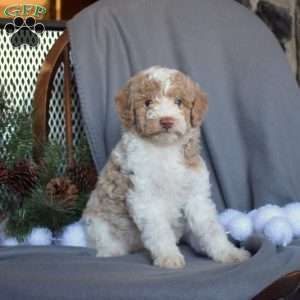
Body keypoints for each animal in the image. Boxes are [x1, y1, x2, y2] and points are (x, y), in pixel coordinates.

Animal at [81, 65, 248, 270]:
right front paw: (169, 256)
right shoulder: (145, 197)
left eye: (178, 102)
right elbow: (159, 230)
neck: (165, 149)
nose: (166, 120)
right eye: (147, 103)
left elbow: (210, 228)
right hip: (100, 226)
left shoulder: (196, 195)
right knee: (107, 244)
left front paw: (228, 252)